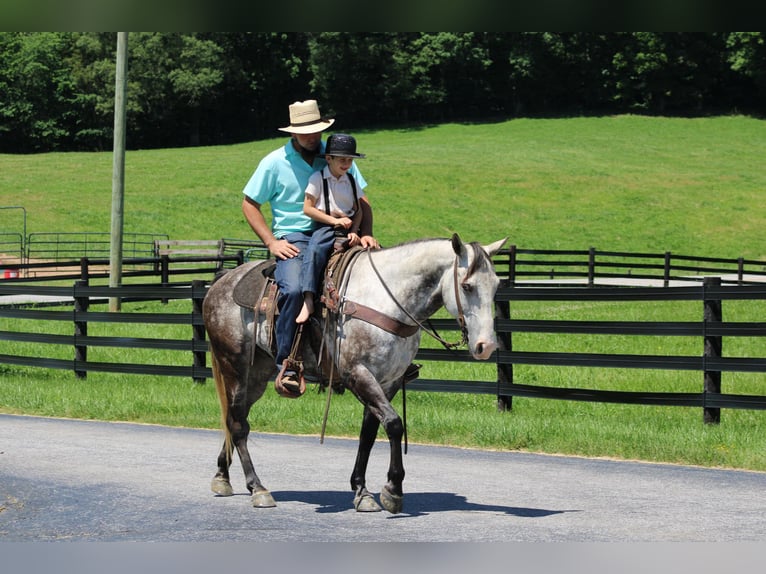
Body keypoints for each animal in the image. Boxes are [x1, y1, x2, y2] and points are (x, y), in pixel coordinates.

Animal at [202, 233, 507, 513]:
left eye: (496, 285)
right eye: (467, 286)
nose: (487, 346)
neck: (386, 300)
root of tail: (221, 282)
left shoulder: (388, 381)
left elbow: (369, 433)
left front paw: (362, 491)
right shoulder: (358, 374)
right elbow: (394, 424)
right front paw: (393, 490)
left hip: (257, 376)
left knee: (235, 418)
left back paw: (222, 476)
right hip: (235, 368)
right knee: (238, 425)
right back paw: (257, 487)